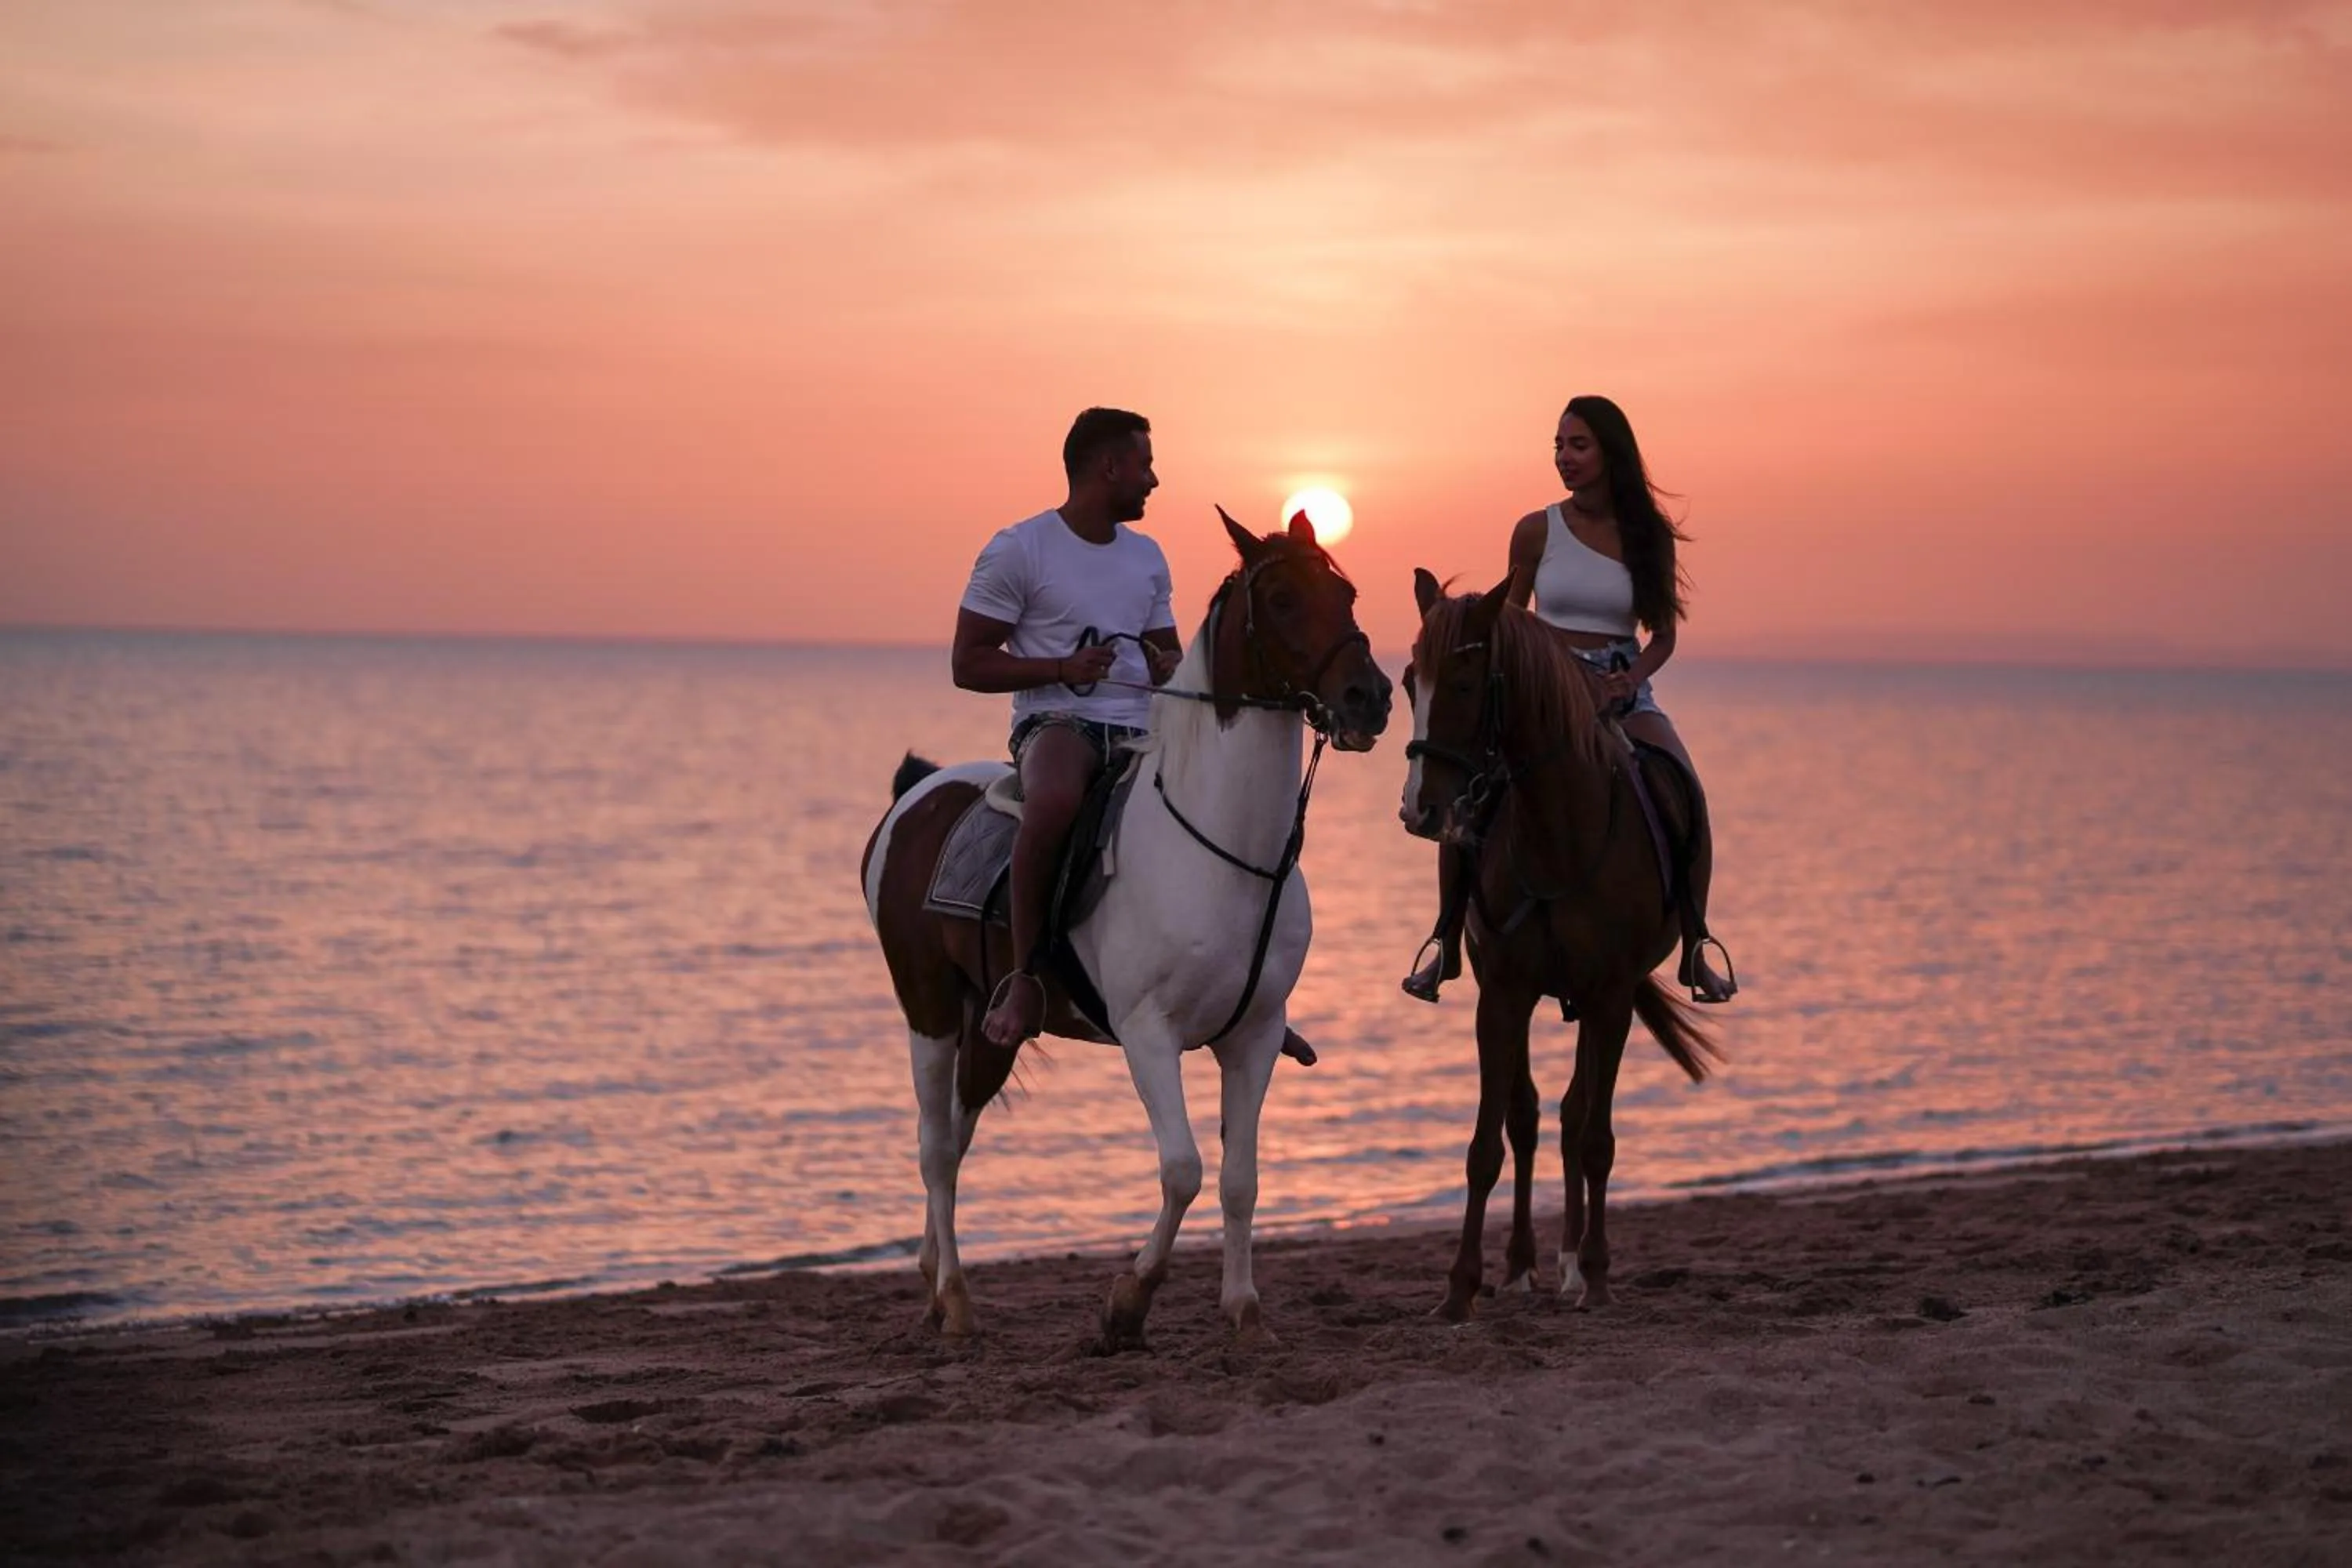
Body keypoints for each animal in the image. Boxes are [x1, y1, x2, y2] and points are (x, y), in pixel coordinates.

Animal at [861, 509, 1392, 1349]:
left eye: (1346, 593)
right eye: (1280, 599)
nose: (1370, 697)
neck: (1222, 847)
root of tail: (918, 791)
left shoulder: (1255, 1034)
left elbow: (1240, 1180)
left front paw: (1244, 1312)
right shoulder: (1149, 1034)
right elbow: (1183, 1169)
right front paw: (1127, 1303)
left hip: (989, 1026)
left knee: (957, 1132)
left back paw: (930, 1277)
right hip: (931, 1011)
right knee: (937, 1150)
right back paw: (955, 1301)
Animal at [1399, 569, 1719, 1321]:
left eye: (1464, 683)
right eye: (1407, 681)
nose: (1420, 809)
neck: (1558, 829)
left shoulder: (1610, 996)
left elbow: (1596, 1137)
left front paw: (1597, 1276)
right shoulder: (1503, 994)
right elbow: (1490, 1143)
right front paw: (1461, 1288)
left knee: (1578, 1117)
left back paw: (1575, 1266)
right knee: (1537, 1118)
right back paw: (1525, 1266)